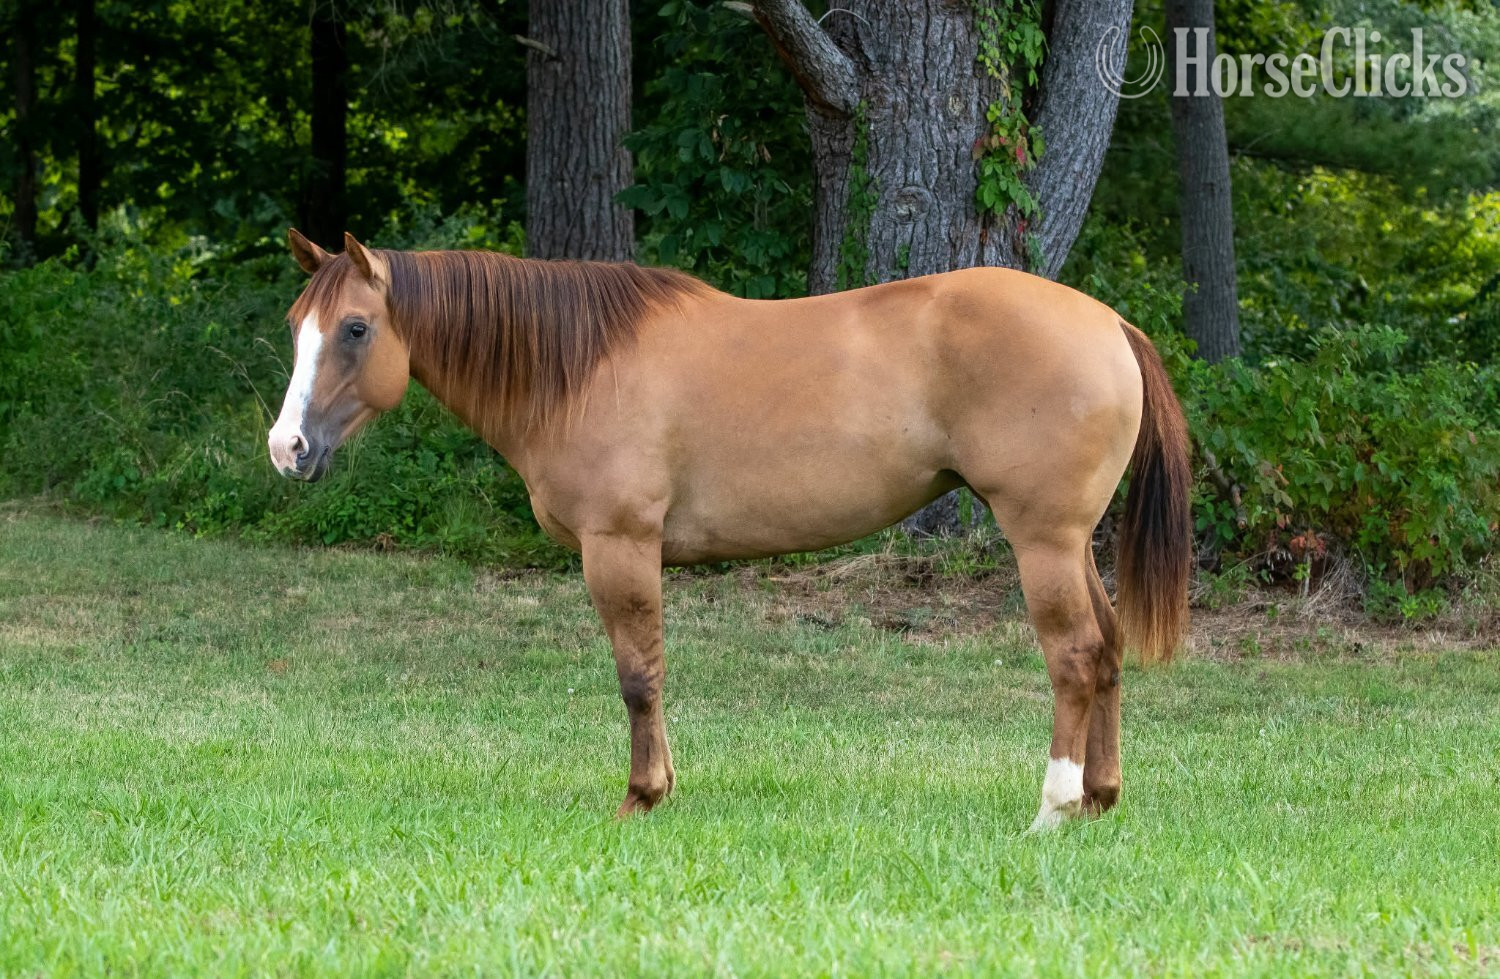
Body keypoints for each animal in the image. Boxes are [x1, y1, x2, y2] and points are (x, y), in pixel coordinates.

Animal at [268, 229, 1191, 829]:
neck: (580, 366)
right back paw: (1099, 800)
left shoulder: (620, 548)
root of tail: (1109, 323)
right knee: (1108, 650)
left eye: (355, 328)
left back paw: (1053, 807)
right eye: (295, 328)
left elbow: (638, 675)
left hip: (1043, 541)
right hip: (1073, 544)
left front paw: (643, 796)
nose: (288, 447)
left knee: (1075, 656)